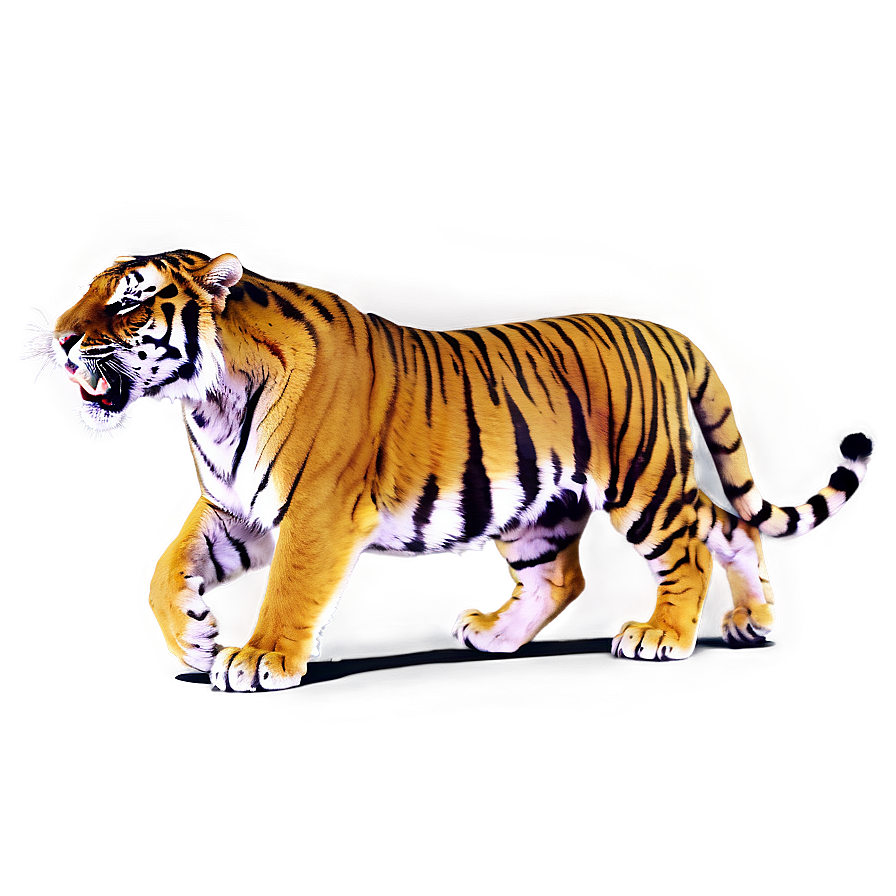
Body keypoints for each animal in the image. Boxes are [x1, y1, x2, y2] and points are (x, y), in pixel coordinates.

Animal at [41, 249, 873, 691]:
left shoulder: (317, 511)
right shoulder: (234, 511)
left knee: (692, 545)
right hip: (544, 508)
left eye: (131, 302)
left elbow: (291, 587)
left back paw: (665, 633)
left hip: (641, 481)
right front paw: (193, 639)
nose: (58, 338)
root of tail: (668, 333)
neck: (205, 402)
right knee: (608, 562)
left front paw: (259, 656)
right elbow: (164, 568)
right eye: (86, 292)